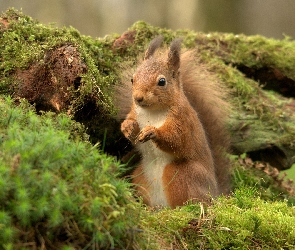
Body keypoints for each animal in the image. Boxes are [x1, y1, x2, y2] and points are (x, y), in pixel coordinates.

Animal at [117, 35, 230, 207]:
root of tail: (214, 192)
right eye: (132, 79)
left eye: (162, 82)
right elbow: (130, 121)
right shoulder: (135, 111)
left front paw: (152, 131)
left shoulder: (182, 120)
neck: (153, 111)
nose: (138, 98)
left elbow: (177, 140)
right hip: (140, 176)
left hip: (180, 175)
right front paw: (127, 127)